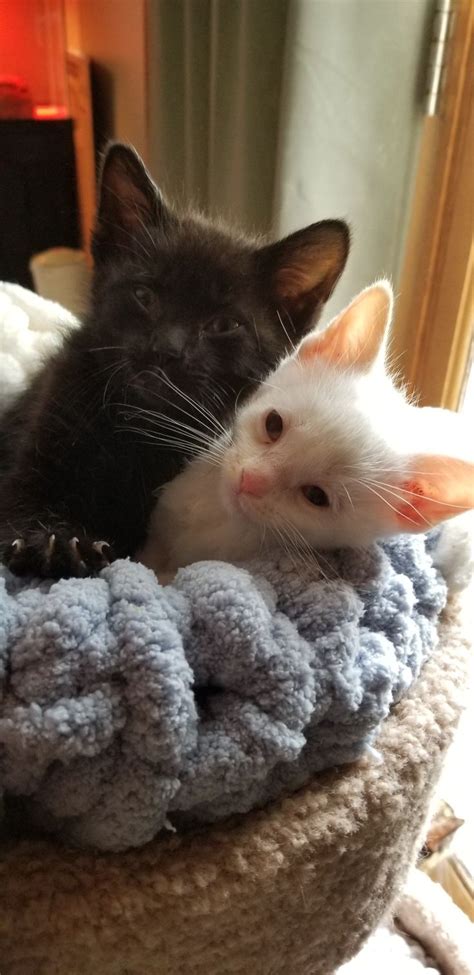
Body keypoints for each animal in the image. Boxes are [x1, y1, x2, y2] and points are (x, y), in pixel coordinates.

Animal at [0, 141, 348, 576]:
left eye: (223, 324)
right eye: (144, 296)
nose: (166, 347)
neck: (136, 426)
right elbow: (22, 495)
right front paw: (53, 541)